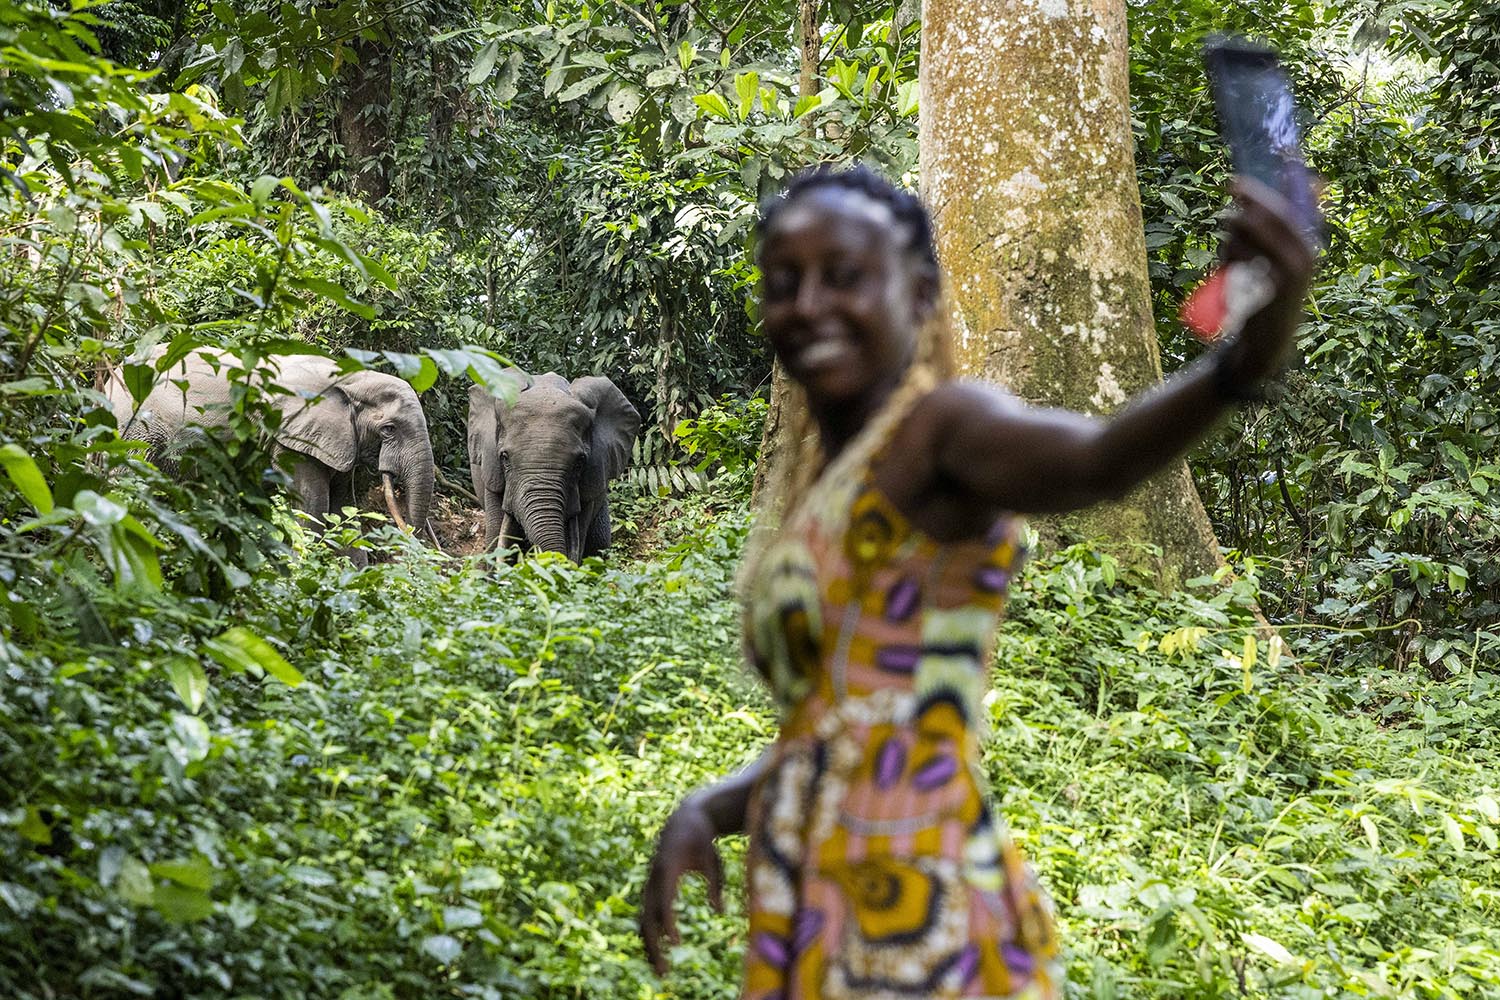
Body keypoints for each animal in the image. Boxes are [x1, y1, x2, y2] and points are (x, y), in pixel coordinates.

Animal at [106, 347, 436, 538]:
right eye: (389, 429)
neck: (353, 379)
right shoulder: (291, 437)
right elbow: (313, 507)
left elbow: (343, 509)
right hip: (136, 431)